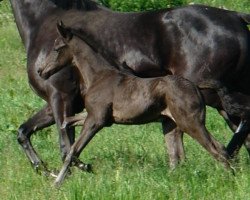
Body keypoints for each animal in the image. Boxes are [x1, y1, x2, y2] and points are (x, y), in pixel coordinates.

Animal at [9, 0, 250, 173]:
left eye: (57, 49)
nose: (41, 71)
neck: (42, 22)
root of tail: (236, 16)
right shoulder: (59, 104)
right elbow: (24, 132)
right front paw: (42, 169)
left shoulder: (60, 96)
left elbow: (65, 145)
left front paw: (79, 170)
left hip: (213, 97)